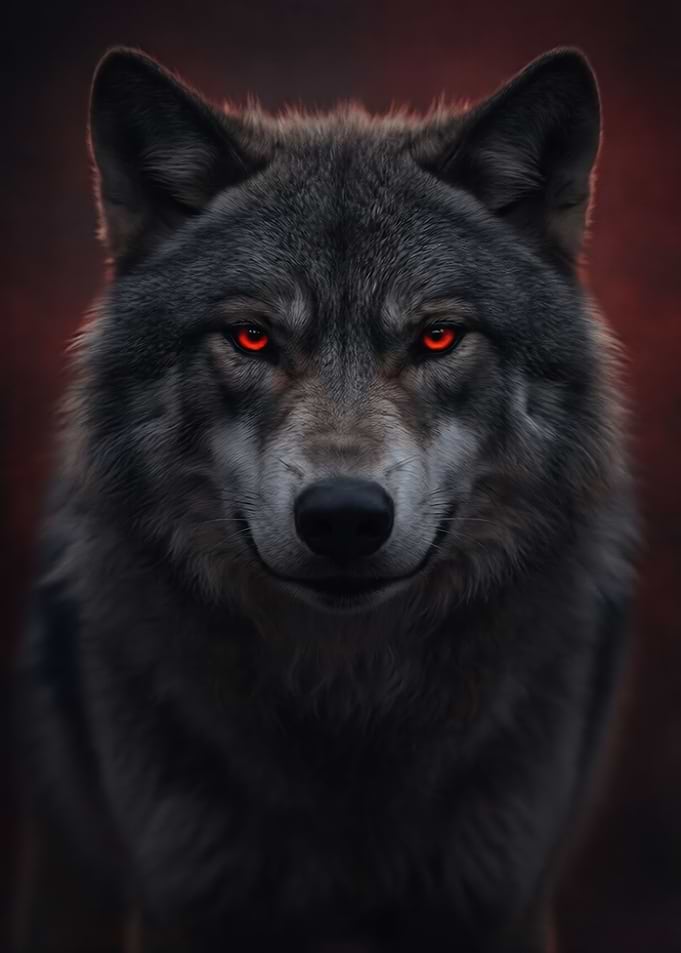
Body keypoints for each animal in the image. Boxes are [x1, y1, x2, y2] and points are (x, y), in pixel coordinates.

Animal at [16, 46, 637, 953]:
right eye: (251, 337)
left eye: (438, 336)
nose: (343, 515)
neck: (347, 703)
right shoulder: (184, 896)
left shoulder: (497, 896)